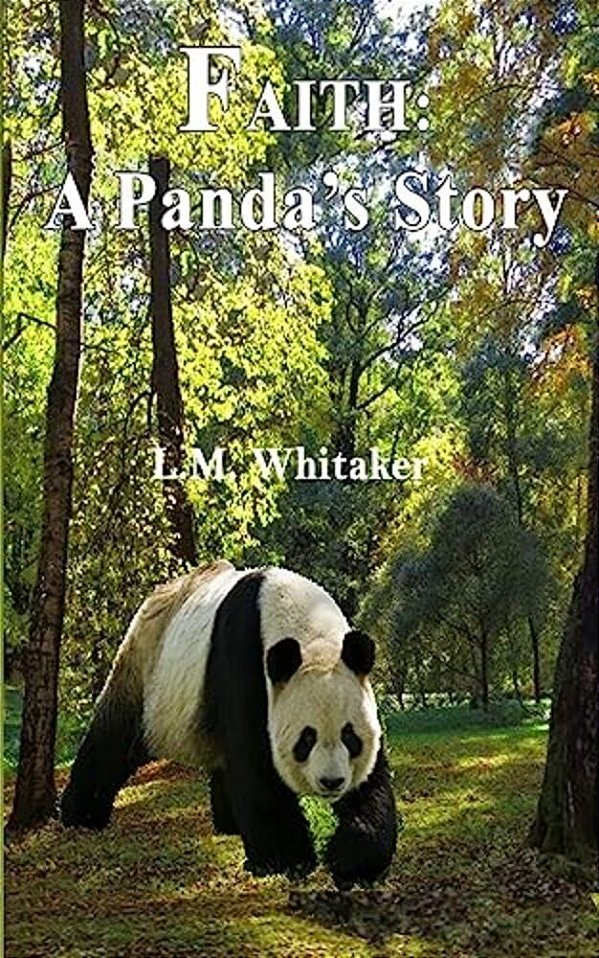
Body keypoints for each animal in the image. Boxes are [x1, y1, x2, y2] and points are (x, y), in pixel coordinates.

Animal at [61, 561, 397, 889]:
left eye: (350, 737)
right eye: (306, 739)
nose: (332, 782)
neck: (308, 631)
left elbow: (371, 782)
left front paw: (352, 859)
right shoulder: (244, 663)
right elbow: (256, 767)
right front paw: (288, 859)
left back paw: (229, 824)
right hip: (145, 667)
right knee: (113, 738)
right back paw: (80, 813)